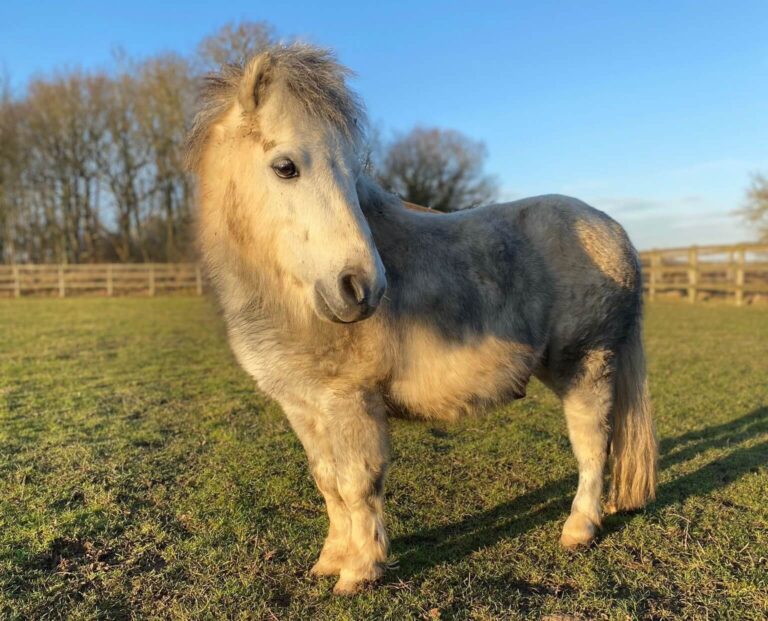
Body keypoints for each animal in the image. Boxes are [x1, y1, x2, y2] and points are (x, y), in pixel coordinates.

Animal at [186, 43, 657, 595]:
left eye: (352, 174)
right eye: (285, 167)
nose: (362, 287)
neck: (289, 297)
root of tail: (614, 232)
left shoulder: (352, 402)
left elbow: (358, 484)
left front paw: (359, 571)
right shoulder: (303, 406)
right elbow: (328, 482)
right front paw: (330, 559)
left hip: (587, 366)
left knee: (592, 447)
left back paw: (579, 528)